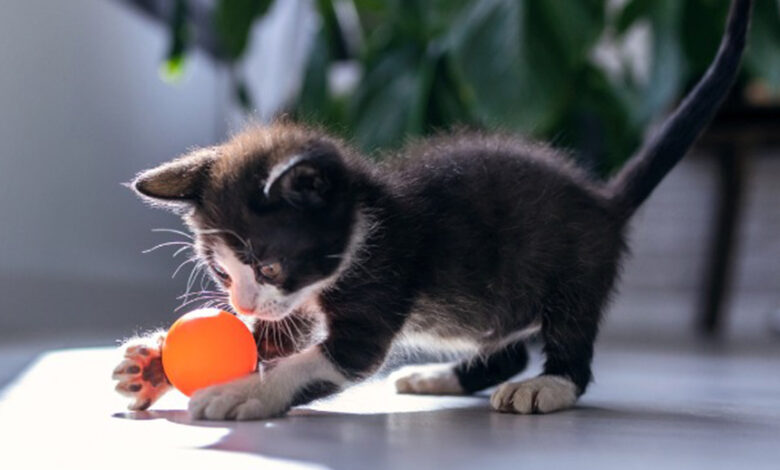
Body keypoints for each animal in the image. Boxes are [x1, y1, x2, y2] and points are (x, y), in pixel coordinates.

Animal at [112, 0, 752, 418]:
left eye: (268, 266)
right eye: (223, 275)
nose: (242, 304)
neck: (365, 225)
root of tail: (602, 200)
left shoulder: (382, 278)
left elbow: (317, 361)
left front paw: (240, 392)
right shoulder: (295, 304)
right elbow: (277, 338)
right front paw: (153, 366)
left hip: (575, 268)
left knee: (571, 338)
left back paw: (549, 387)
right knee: (505, 346)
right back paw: (442, 376)